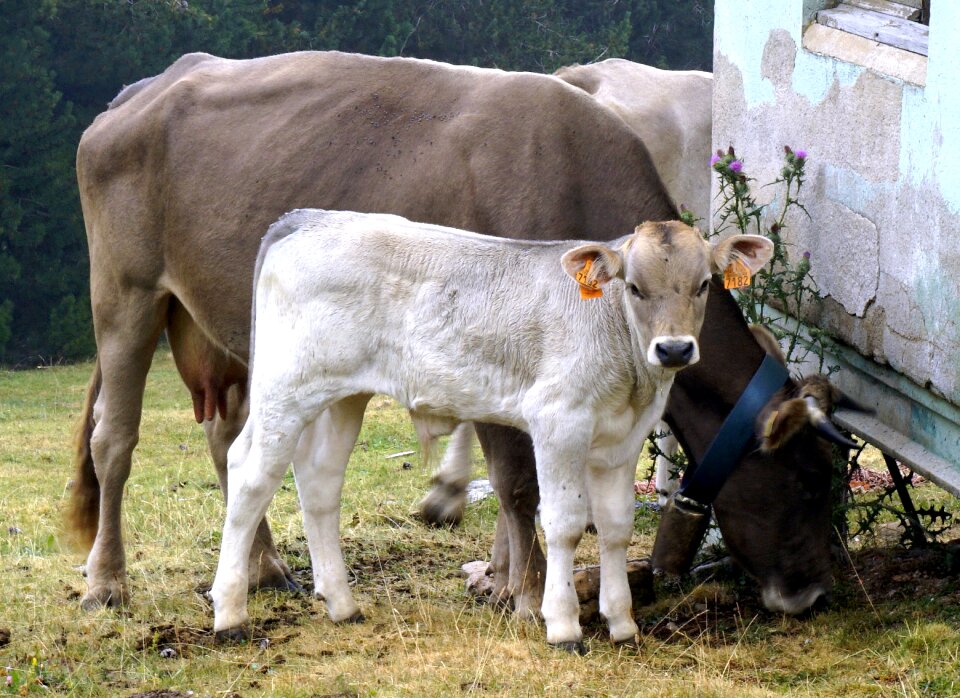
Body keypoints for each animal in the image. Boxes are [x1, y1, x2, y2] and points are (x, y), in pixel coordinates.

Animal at [212, 211, 772, 648]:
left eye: (703, 284)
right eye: (634, 287)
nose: (674, 349)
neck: (630, 371)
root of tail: (311, 218)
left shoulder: (623, 437)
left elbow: (615, 527)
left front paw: (622, 624)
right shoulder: (558, 422)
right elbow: (565, 523)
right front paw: (563, 626)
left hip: (342, 396)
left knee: (319, 480)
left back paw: (342, 603)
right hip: (285, 390)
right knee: (250, 476)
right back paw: (230, 614)